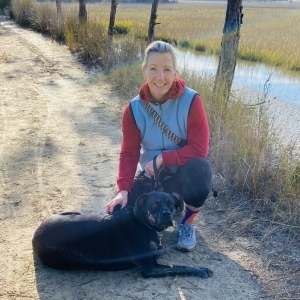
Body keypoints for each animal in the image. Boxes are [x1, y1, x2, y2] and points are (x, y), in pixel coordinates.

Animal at [31, 192, 212, 278]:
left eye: (171, 204)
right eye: (154, 205)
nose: (167, 214)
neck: (142, 222)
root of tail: (35, 234)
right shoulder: (150, 268)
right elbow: (181, 267)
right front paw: (202, 269)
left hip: (72, 213)